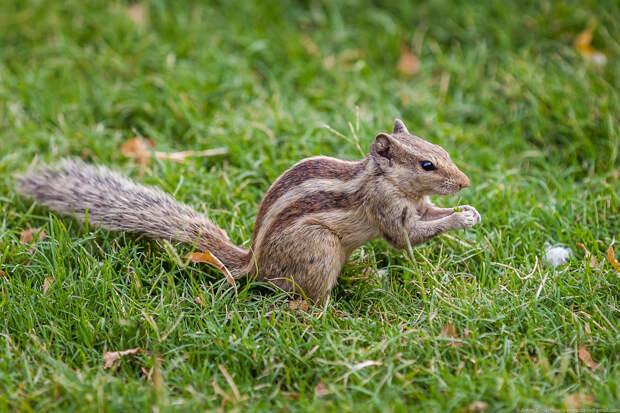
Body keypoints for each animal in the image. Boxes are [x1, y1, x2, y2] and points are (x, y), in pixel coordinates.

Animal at [15, 117, 480, 300]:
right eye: (427, 164)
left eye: (442, 152)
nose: (465, 182)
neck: (387, 179)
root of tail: (253, 262)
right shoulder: (384, 208)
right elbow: (407, 237)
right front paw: (462, 217)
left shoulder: (416, 205)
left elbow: (426, 220)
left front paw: (470, 212)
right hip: (319, 249)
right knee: (295, 293)